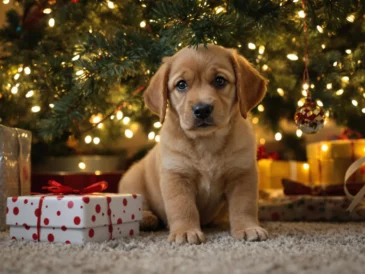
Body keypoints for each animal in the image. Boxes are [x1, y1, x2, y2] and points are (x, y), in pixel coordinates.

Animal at [118, 44, 268, 244]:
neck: (207, 143)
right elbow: (182, 207)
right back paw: (148, 218)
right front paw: (185, 231)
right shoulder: (176, 176)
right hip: (132, 179)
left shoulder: (242, 174)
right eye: (181, 84)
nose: (202, 109)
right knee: (141, 204)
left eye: (220, 81)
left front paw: (247, 227)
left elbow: (244, 205)